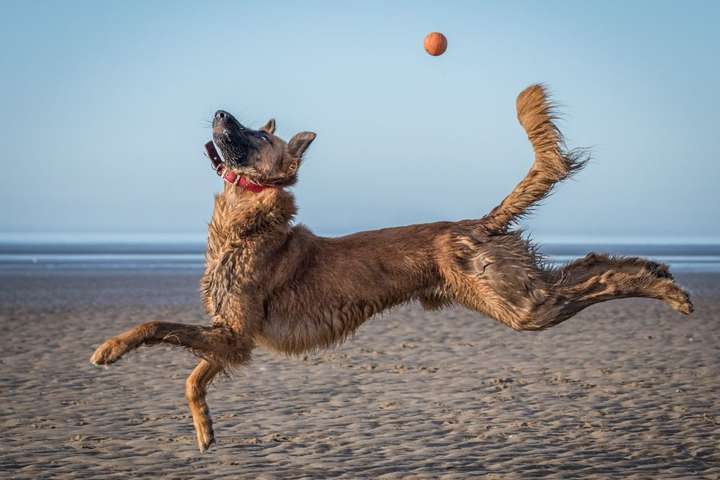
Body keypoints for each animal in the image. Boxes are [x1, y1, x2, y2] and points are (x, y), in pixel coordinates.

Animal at [90, 84, 692, 452]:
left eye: (258, 134)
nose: (218, 110)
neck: (247, 221)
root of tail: (479, 223)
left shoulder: (234, 334)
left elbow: (155, 327)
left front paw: (110, 349)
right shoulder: (232, 340)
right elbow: (193, 378)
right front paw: (205, 432)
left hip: (518, 305)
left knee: (600, 279)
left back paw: (668, 291)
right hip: (516, 292)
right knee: (591, 263)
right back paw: (656, 269)